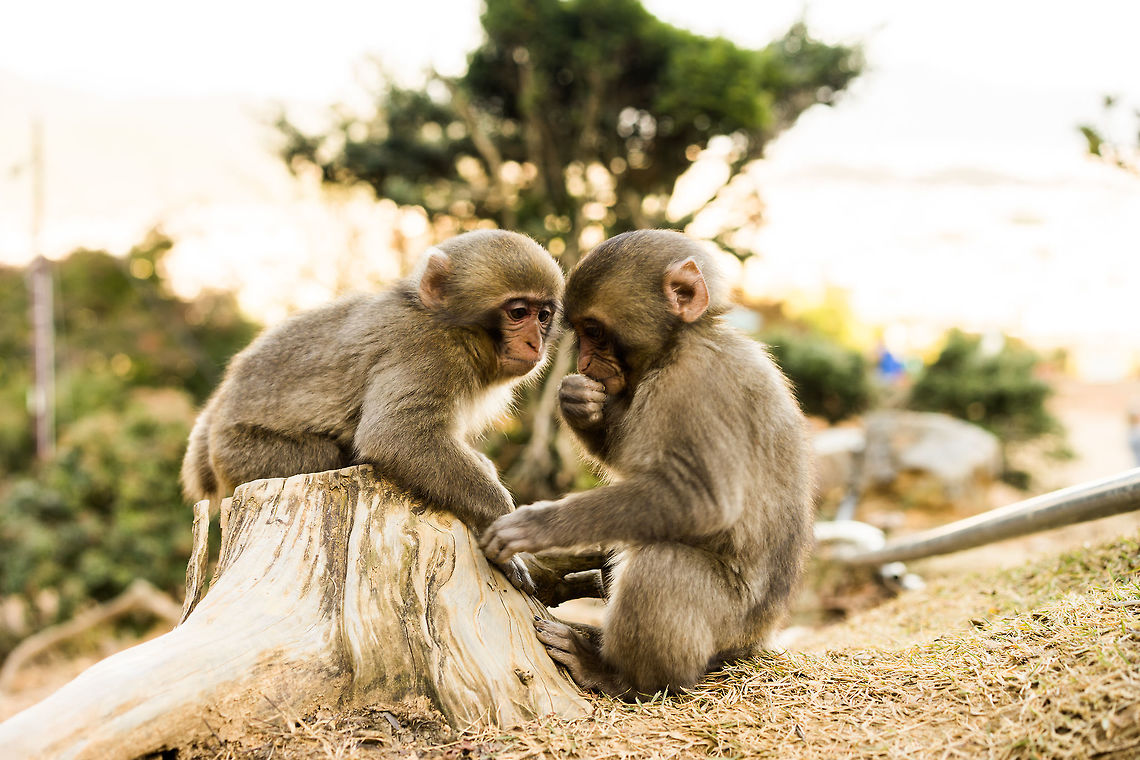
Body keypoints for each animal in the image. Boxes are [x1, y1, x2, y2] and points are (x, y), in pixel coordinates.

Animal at [181, 229, 564, 591]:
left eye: (543, 316)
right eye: (518, 313)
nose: (536, 342)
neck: (449, 326)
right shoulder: (428, 351)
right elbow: (395, 435)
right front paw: (505, 526)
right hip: (240, 455)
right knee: (325, 455)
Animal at [480, 229, 814, 698]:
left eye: (595, 332)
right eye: (581, 335)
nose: (584, 362)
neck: (684, 341)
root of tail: (759, 641)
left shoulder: (697, 384)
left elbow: (701, 500)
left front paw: (537, 525)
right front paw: (581, 405)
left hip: (728, 624)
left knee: (660, 567)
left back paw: (618, 675)